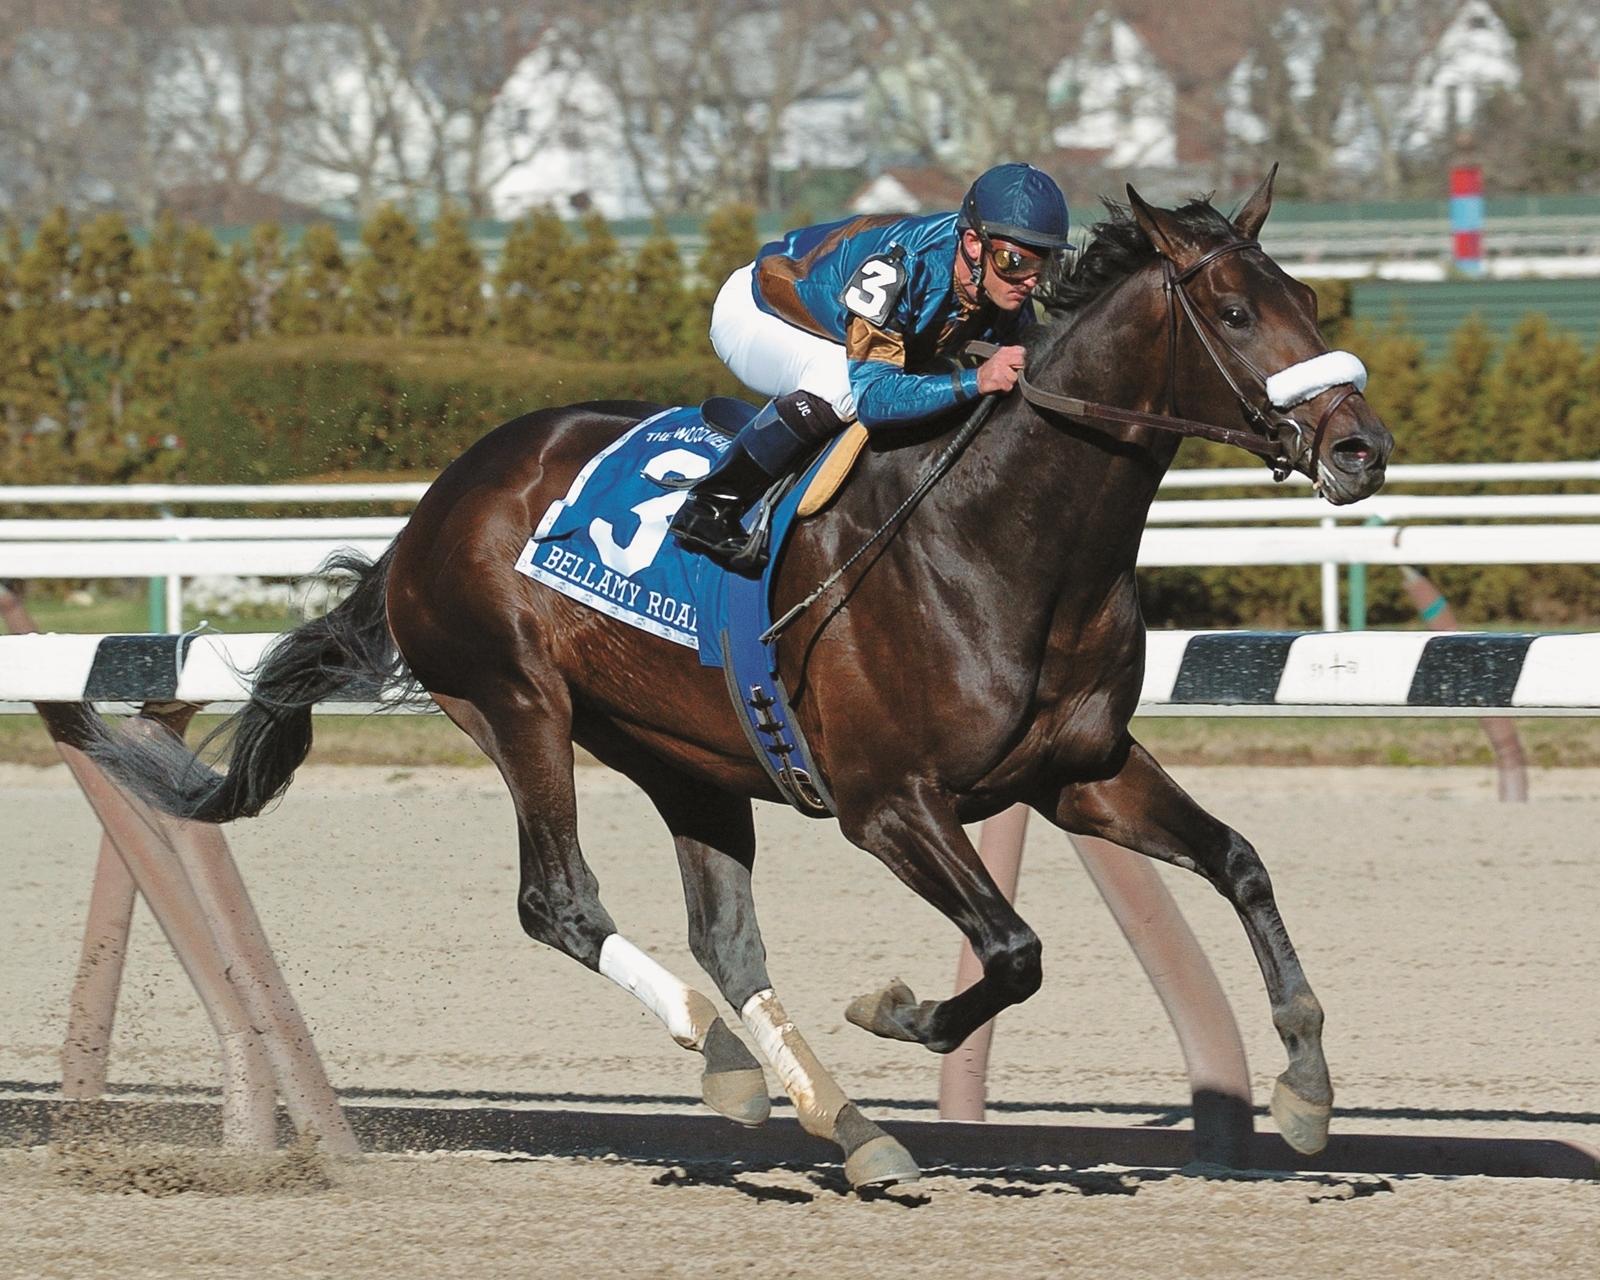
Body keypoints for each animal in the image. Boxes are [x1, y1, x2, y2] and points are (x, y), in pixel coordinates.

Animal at [83, 171, 1392, 1189]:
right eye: (1235, 308)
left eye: (1310, 299)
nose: (1359, 445)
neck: (1002, 538)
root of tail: (430, 510)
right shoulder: (886, 801)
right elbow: (1014, 950)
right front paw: (898, 1009)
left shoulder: (1082, 771)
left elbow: (1239, 861)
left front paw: (1305, 1084)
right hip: (516, 702)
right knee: (559, 899)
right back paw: (716, 1054)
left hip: (689, 755)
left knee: (727, 941)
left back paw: (844, 1122)